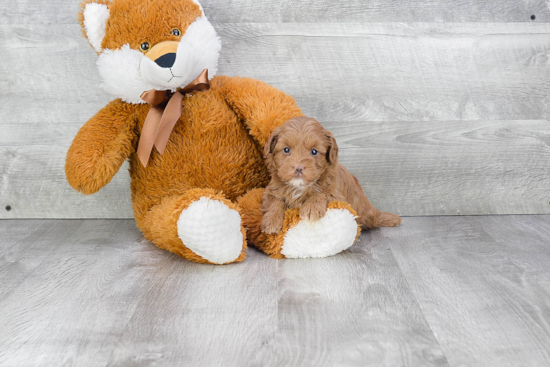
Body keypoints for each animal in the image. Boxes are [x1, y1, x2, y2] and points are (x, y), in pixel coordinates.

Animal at [260, 116, 404, 234]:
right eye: (286, 149)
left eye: (314, 151)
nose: (298, 168)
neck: (299, 187)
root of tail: (373, 211)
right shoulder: (270, 191)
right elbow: (276, 202)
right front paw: (271, 222)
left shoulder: (337, 195)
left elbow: (322, 193)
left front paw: (311, 208)